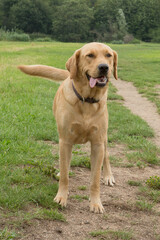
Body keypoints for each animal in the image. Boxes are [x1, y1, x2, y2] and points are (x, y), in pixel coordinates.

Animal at [18, 42, 117, 213]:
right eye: (90, 55)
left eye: (108, 55)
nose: (104, 67)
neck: (87, 100)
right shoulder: (65, 140)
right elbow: (65, 174)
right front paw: (61, 197)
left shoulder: (97, 143)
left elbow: (95, 179)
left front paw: (96, 203)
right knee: (66, 163)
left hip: (103, 138)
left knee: (106, 156)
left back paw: (108, 176)